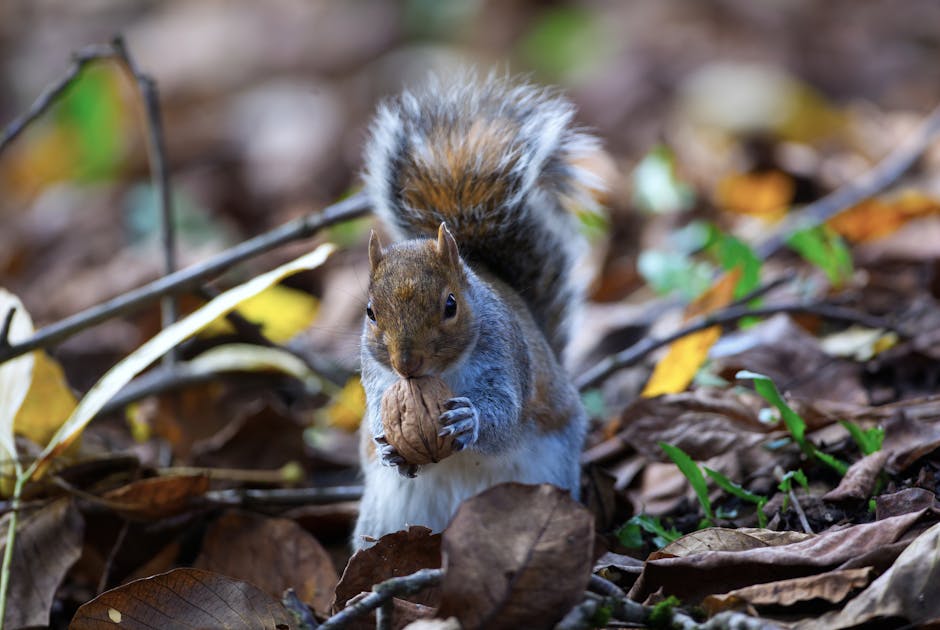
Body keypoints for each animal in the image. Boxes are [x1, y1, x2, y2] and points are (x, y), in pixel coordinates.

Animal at [353, 73, 602, 549]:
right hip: (386, 514)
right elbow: (378, 411)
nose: (406, 364)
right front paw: (388, 446)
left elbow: (506, 415)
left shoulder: (506, 356)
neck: (439, 375)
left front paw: (470, 421)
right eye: (371, 312)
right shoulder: (377, 379)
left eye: (450, 305)